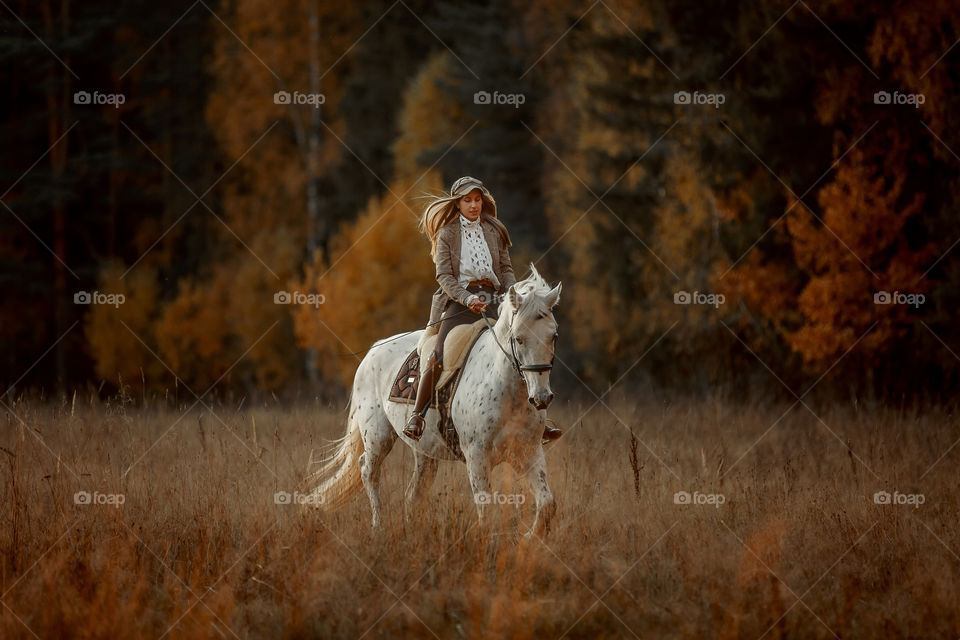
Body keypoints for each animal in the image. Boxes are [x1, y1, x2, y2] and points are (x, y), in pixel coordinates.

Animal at [304, 264, 564, 536]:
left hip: (424, 451)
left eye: (553, 336)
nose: (542, 398)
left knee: (414, 492)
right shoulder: (477, 456)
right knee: (368, 470)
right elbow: (486, 509)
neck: (508, 393)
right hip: (377, 436)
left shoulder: (528, 452)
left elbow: (547, 504)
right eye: (518, 337)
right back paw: (378, 526)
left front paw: (530, 537)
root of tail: (373, 350)